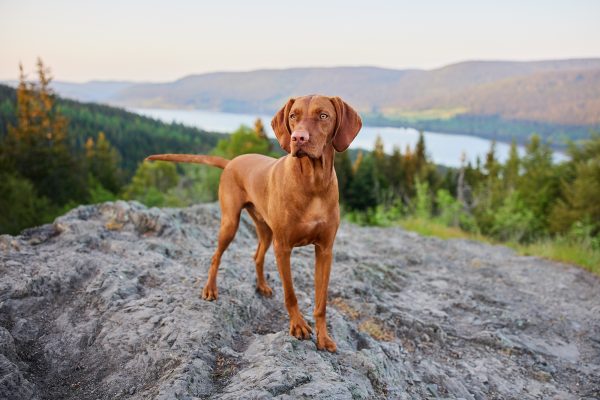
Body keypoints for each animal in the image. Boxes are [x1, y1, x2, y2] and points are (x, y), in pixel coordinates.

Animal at [146, 95, 360, 352]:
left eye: (323, 116)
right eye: (293, 116)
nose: (298, 138)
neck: (313, 183)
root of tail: (231, 161)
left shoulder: (325, 250)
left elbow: (321, 303)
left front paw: (324, 337)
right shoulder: (283, 247)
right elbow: (290, 294)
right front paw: (298, 325)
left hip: (266, 231)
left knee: (257, 256)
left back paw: (261, 286)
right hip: (231, 224)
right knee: (216, 256)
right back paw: (210, 289)